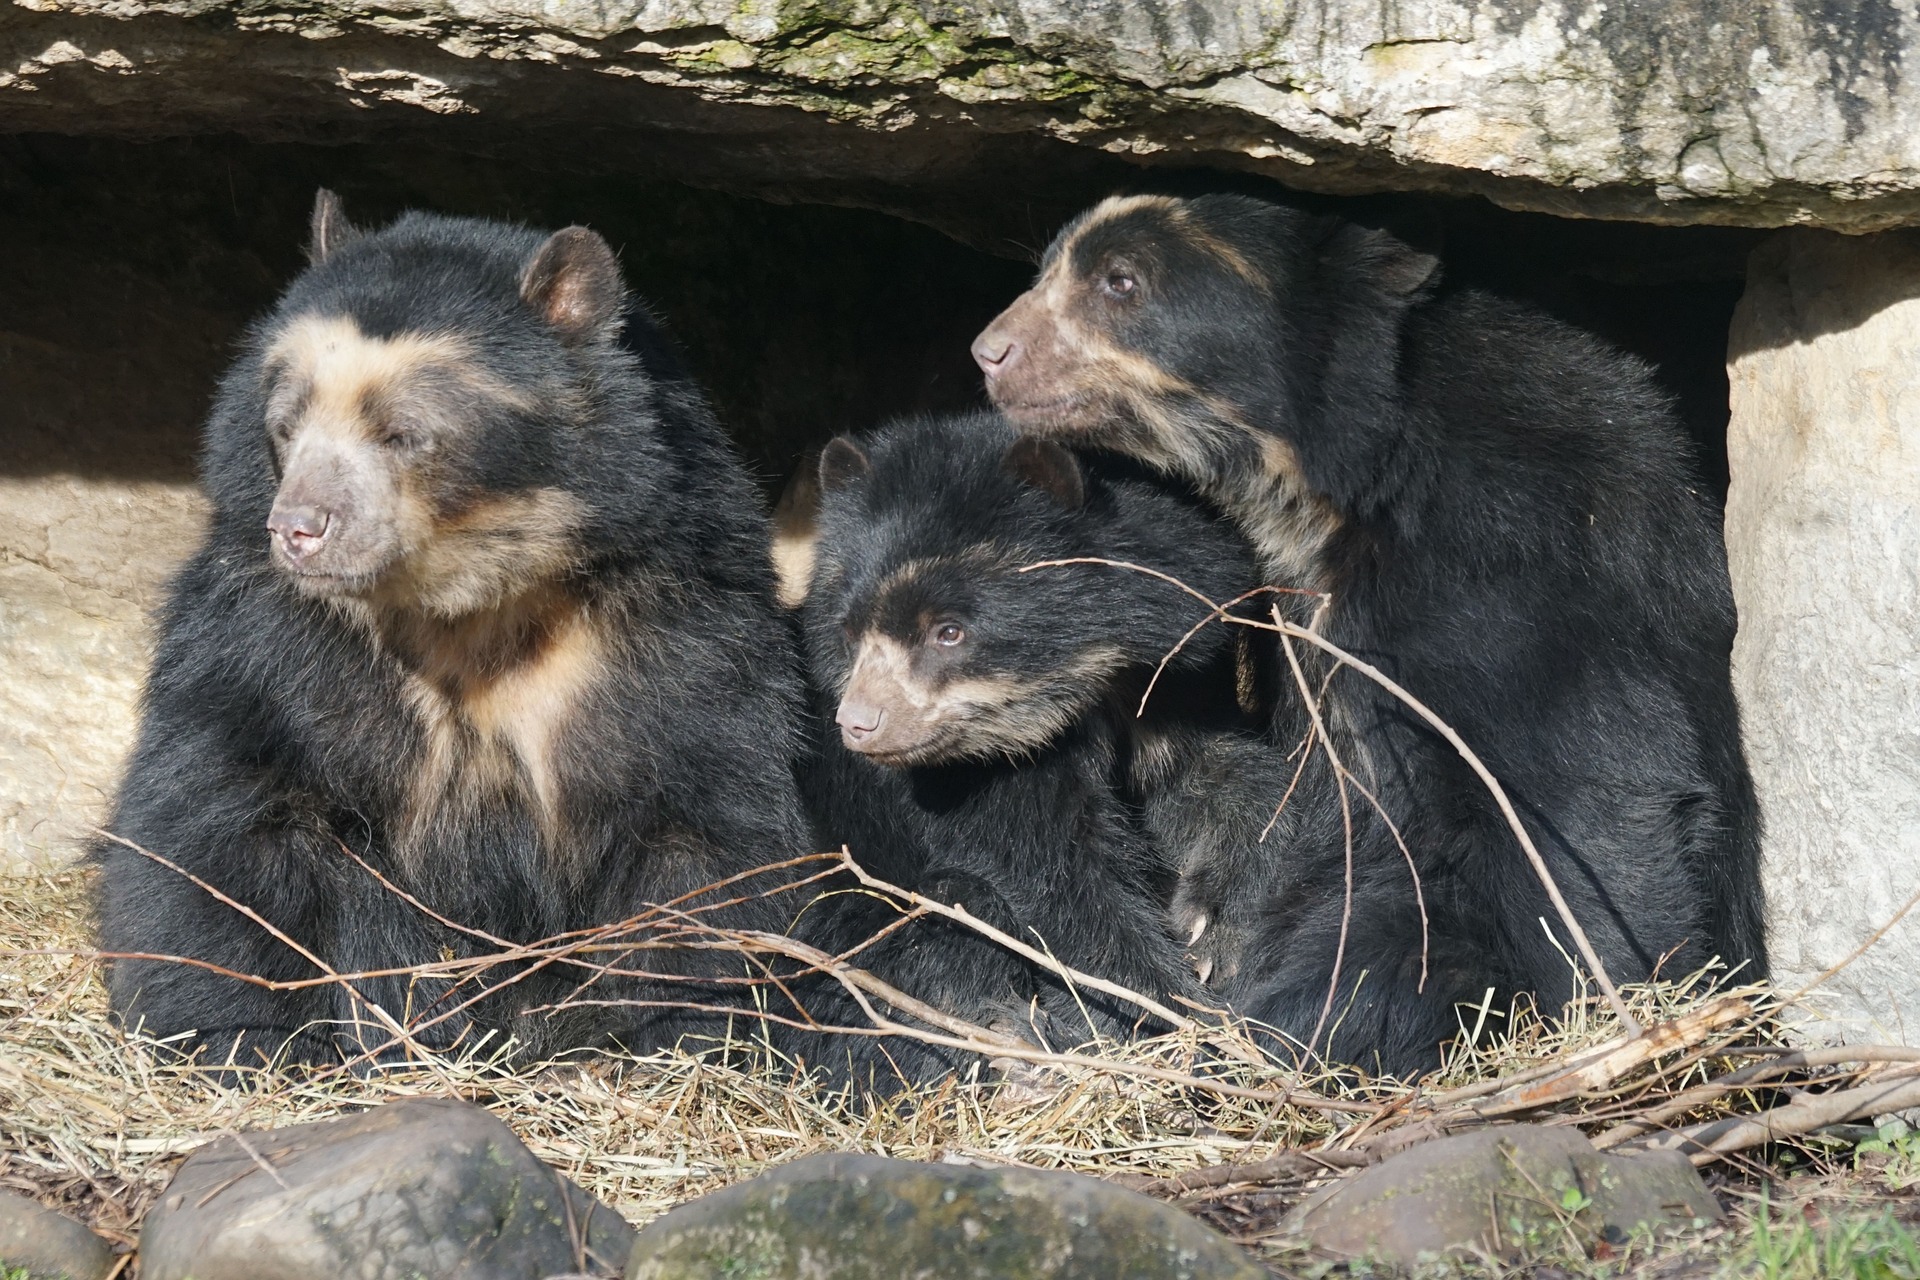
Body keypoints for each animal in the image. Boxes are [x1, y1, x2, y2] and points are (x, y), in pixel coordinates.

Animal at [93, 189, 814, 1074]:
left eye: (404, 433)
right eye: (285, 424)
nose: (298, 530)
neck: (465, 600)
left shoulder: (679, 634)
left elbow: (701, 833)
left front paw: (681, 1040)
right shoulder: (265, 636)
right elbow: (221, 811)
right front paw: (235, 1036)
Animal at [975, 192, 1766, 1074]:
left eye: (1122, 281)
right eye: (1047, 268)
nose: (990, 353)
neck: (1328, 489)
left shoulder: (1511, 566)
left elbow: (1590, 783)